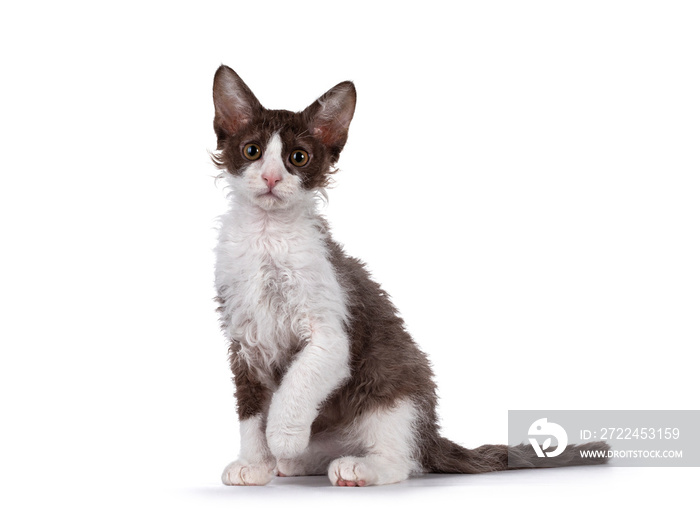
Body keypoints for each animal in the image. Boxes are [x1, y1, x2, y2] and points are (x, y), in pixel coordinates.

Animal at [209, 66, 608, 488]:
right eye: (252, 151)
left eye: (298, 157)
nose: (271, 178)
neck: (266, 236)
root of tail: (431, 434)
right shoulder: (243, 339)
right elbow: (250, 408)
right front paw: (255, 463)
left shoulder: (332, 334)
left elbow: (299, 379)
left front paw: (283, 435)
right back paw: (297, 461)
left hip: (395, 385)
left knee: (401, 459)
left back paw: (357, 466)